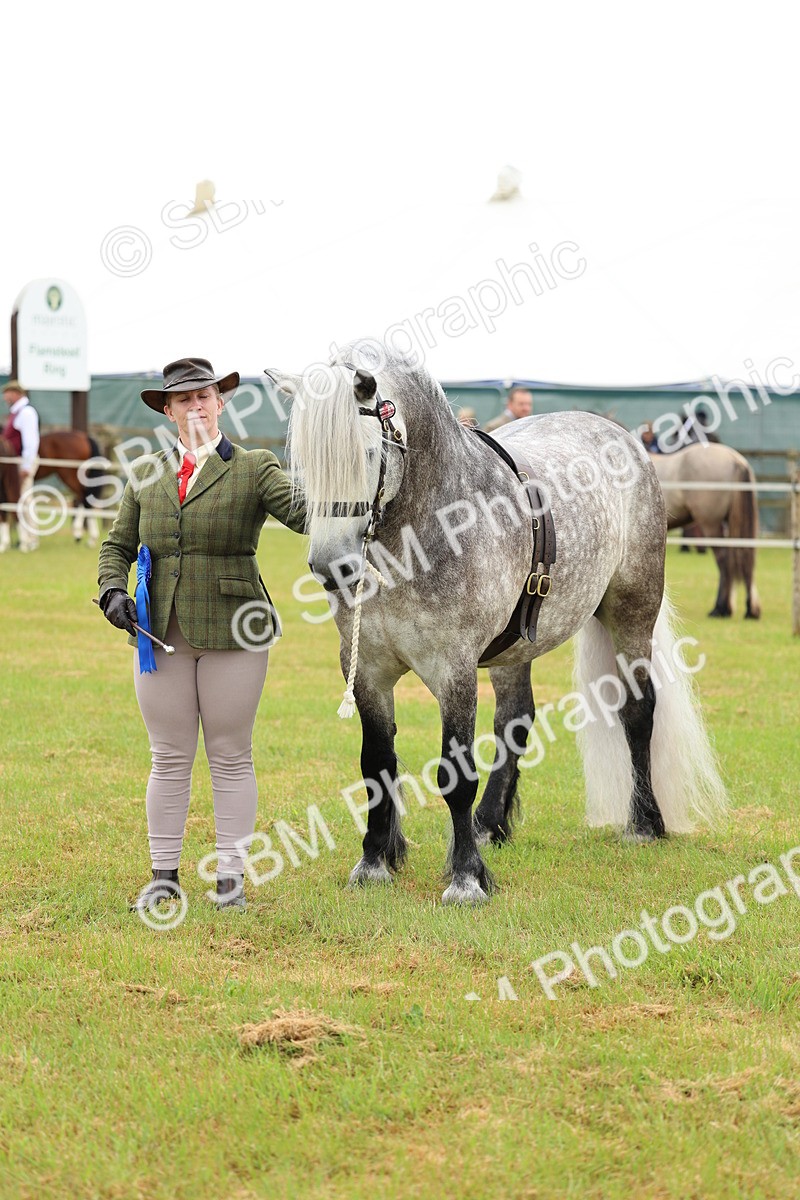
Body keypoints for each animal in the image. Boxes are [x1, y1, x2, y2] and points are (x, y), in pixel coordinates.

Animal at [267, 343, 727, 905]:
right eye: (304, 461)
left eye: (368, 455)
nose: (331, 565)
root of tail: (617, 434)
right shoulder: (368, 671)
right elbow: (376, 764)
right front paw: (374, 863)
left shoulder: (455, 670)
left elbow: (455, 774)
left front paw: (466, 878)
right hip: (514, 651)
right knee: (515, 720)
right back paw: (490, 824)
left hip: (631, 613)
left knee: (638, 711)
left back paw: (643, 824)